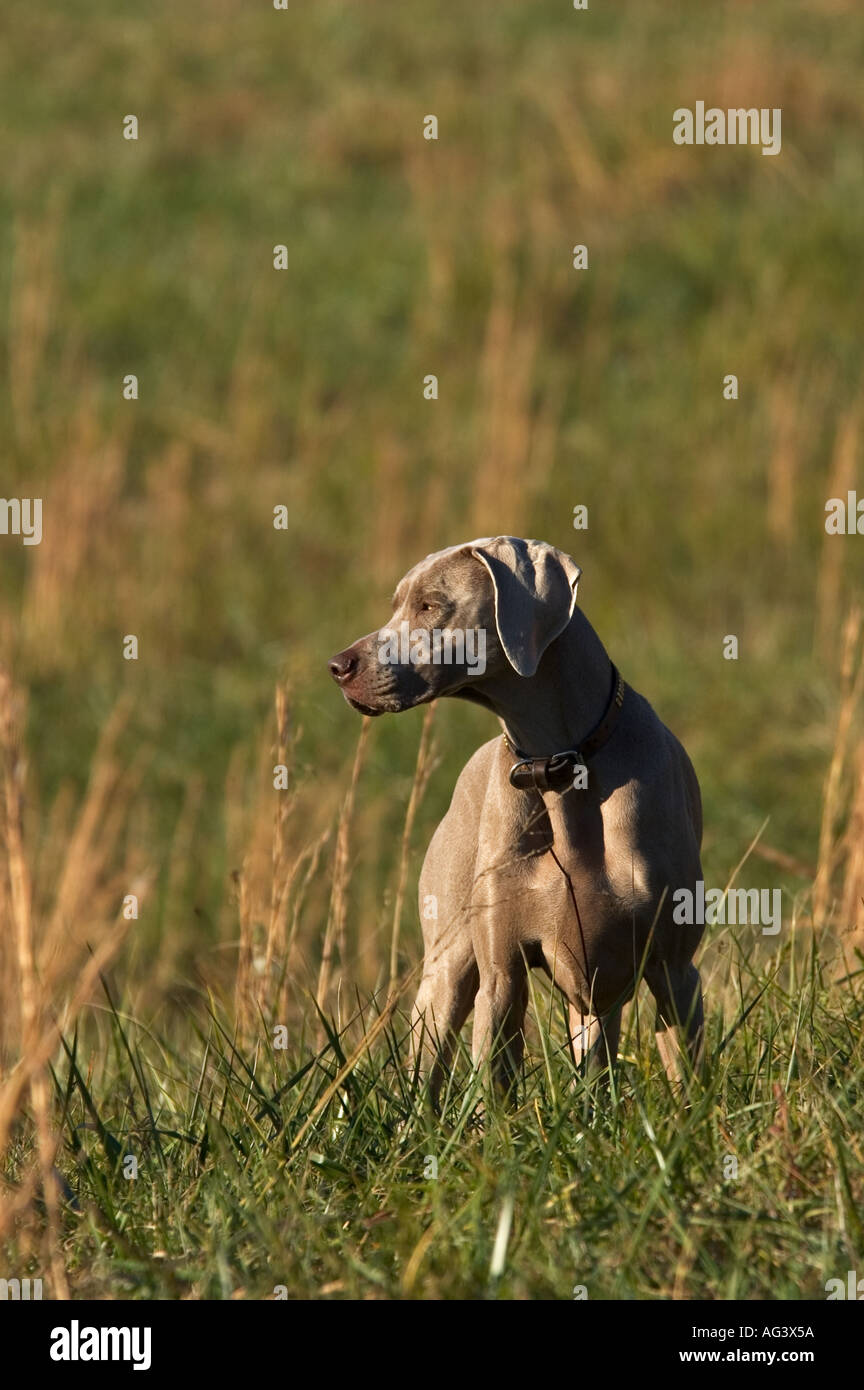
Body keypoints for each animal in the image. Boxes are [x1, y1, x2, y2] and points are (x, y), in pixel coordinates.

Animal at [327, 533, 708, 1095]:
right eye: (395, 605)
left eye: (429, 606)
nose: (337, 667)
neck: (561, 765)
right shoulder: (503, 974)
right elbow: (493, 1089)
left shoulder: (674, 969)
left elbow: (690, 1085)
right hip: (446, 970)